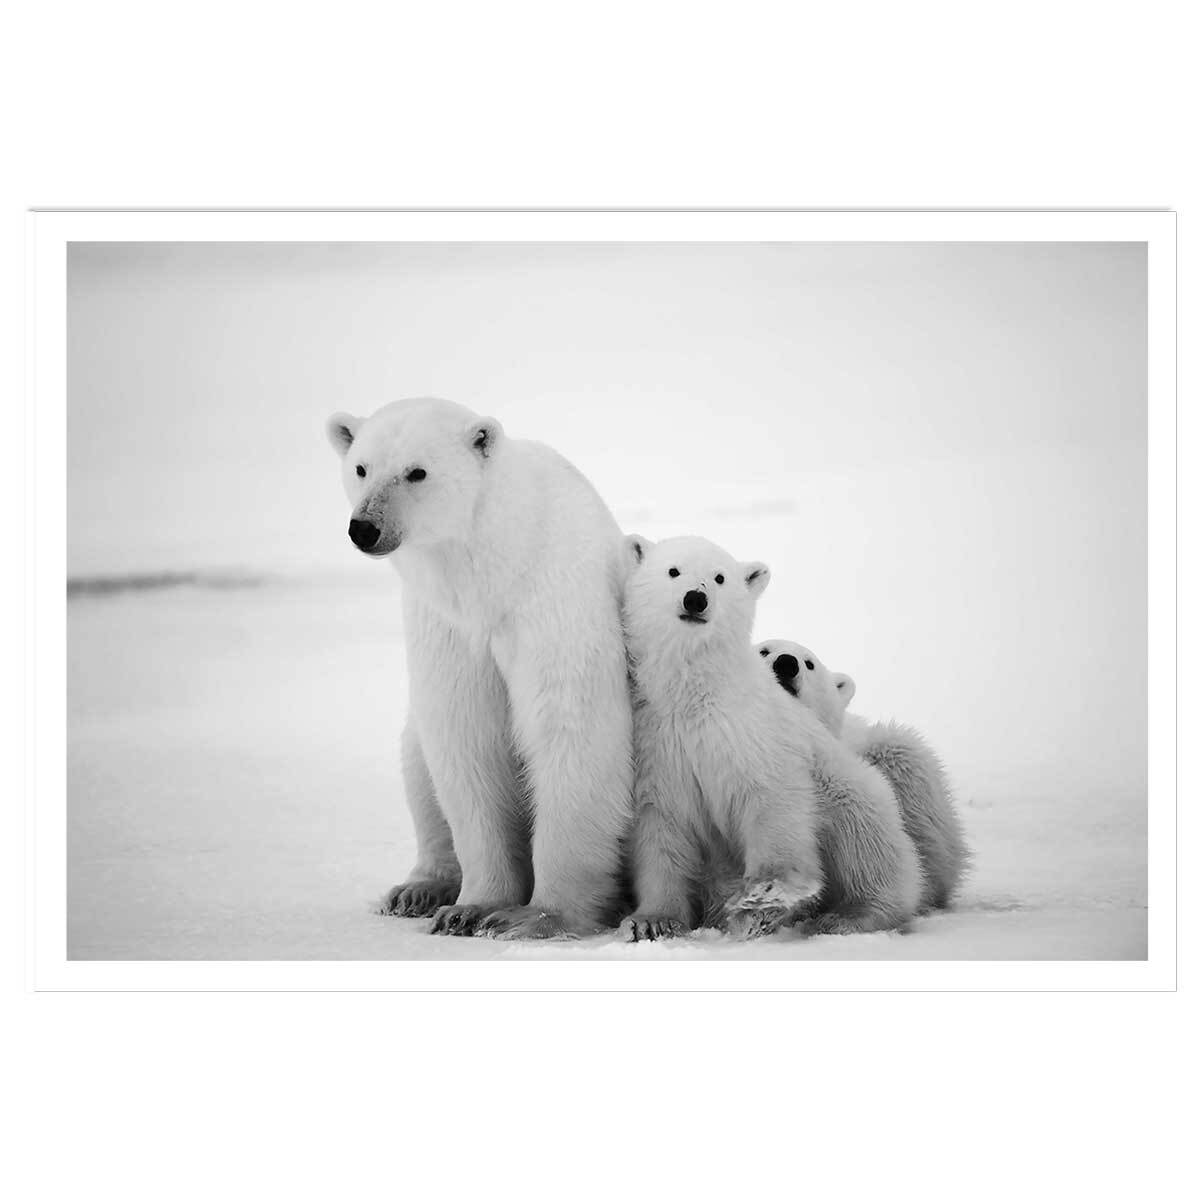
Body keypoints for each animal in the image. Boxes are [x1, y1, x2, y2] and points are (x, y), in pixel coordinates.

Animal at [326, 397, 634, 939]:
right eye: (361, 468)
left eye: (417, 471)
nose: (365, 527)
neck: (494, 570)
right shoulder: (447, 625)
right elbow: (465, 738)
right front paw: (470, 908)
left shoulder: (553, 600)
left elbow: (570, 730)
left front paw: (535, 917)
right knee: (417, 762)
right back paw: (418, 889)